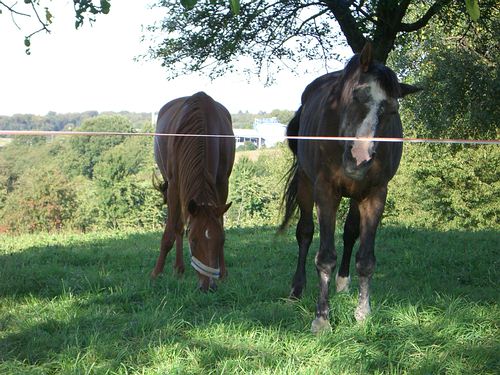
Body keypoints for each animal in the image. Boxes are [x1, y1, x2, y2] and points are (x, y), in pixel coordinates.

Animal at [150, 92, 234, 292]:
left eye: (219, 241)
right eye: (193, 241)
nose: (208, 286)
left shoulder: (222, 183)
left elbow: (221, 223)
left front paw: (223, 273)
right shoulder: (174, 185)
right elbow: (170, 233)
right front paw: (156, 273)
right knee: (178, 226)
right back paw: (178, 268)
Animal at [282, 42, 418, 334]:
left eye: (392, 110)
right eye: (358, 95)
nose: (359, 158)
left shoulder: (375, 194)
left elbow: (365, 259)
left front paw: (363, 313)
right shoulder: (325, 192)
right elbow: (324, 257)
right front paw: (322, 318)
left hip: (357, 195)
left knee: (350, 232)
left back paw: (343, 283)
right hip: (306, 185)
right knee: (304, 233)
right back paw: (296, 290)